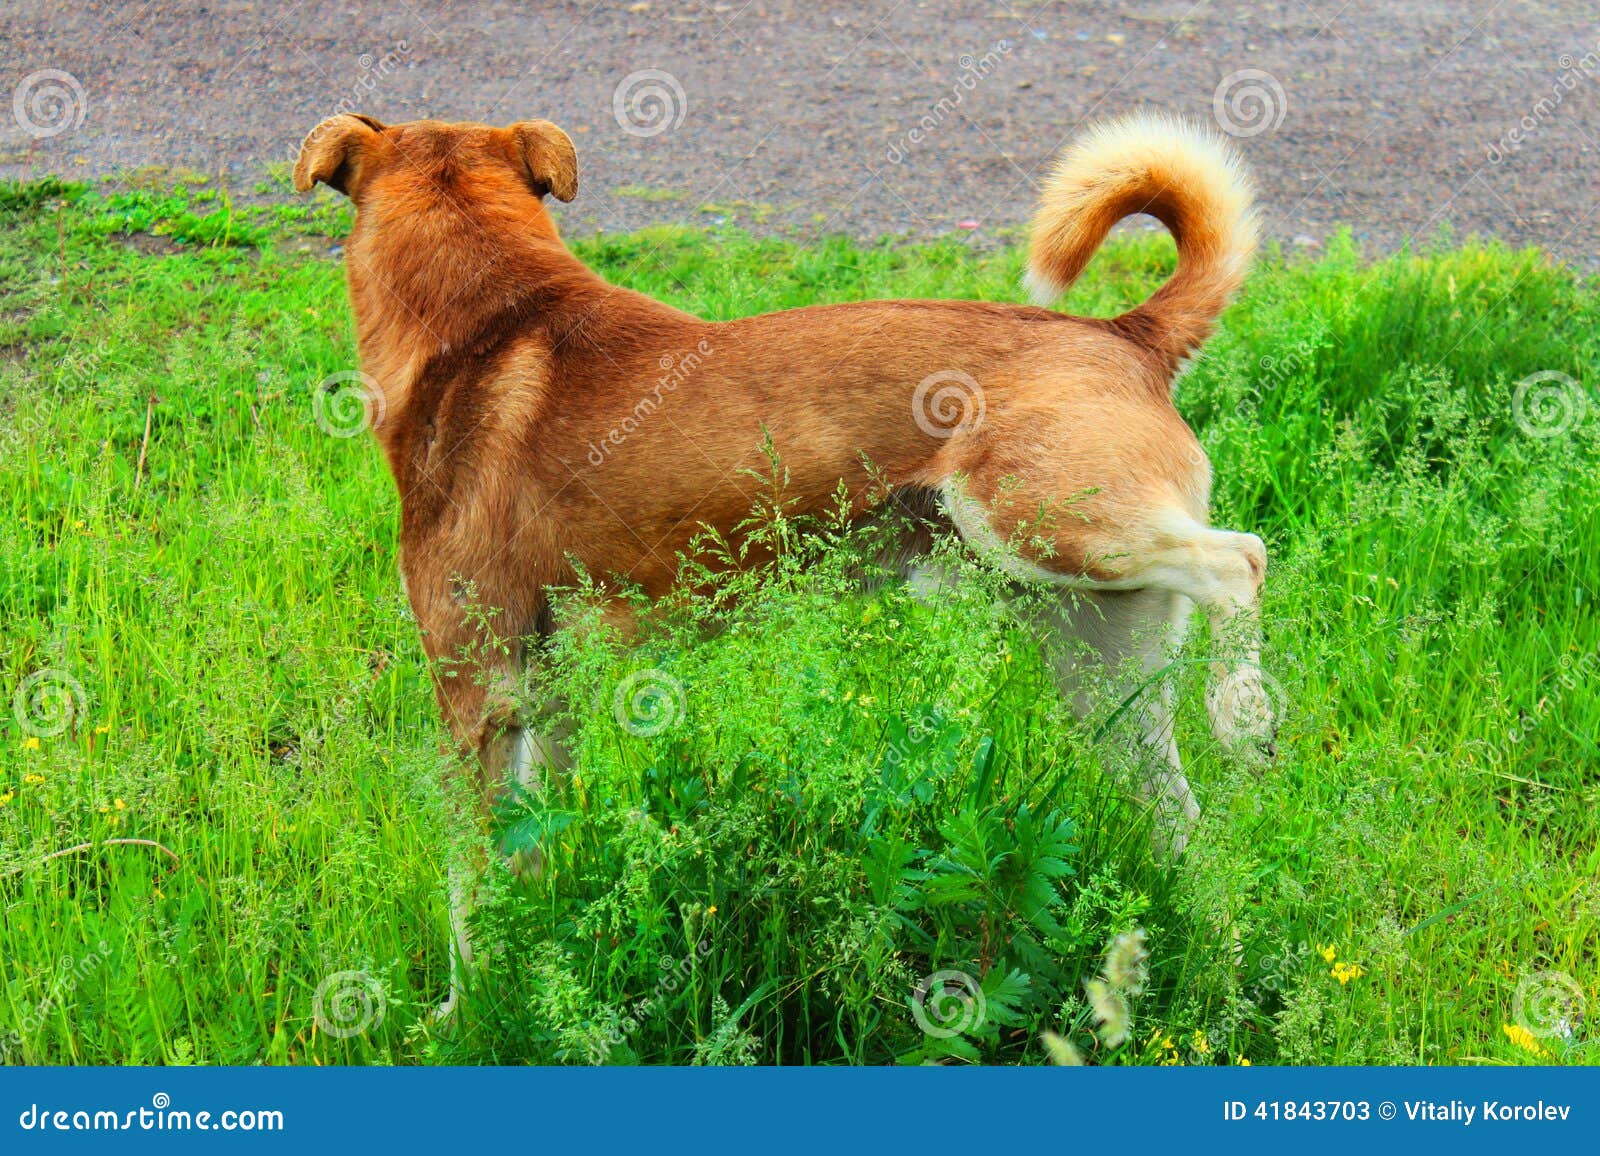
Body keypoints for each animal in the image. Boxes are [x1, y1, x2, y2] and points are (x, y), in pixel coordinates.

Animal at [297, 108, 1273, 1011]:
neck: (491, 326)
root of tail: (1129, 334)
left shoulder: (474, 694)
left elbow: (468, 890)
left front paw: (468, 1011)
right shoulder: (550, 694)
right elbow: (534, 850)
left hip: (1043, 525)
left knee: (1241, 560)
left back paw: (1244, 711)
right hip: (1097, 671)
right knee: (1192, 838)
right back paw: (1219, 975)